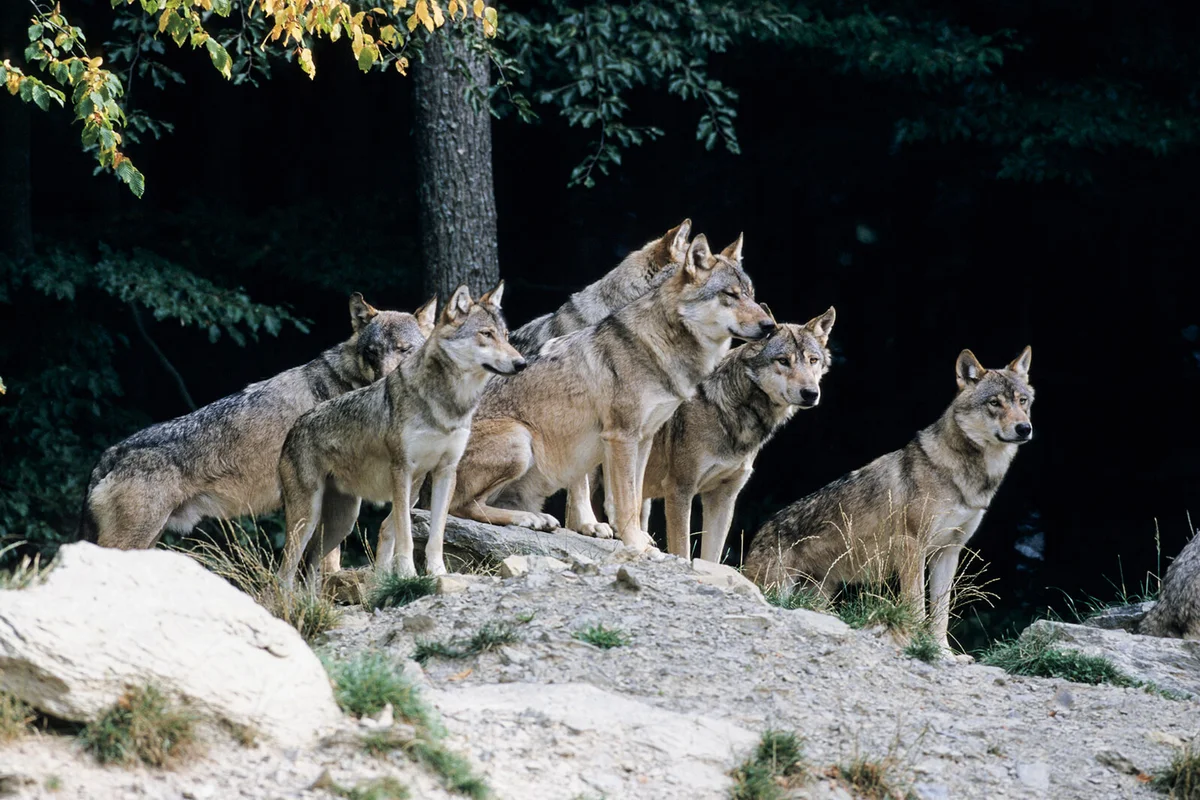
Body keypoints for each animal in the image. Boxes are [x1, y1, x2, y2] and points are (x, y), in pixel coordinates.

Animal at [277, 283, 524, 585]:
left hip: (342, 522)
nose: (521, 363)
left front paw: (438, 572)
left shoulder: (445, 472)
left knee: (311, 568)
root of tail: (294, 427)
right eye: (486, 334)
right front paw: (407, 574)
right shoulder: (402, 471)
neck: (448, 406)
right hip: (307, 520)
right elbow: (404, 532)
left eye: (506, 336)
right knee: (284, 574)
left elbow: (436, 533)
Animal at [448, 235, 776, 551]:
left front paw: (637, 539)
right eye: (731, 295)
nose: (770, 325)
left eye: (751, 294)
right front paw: (634, 544)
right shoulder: (621, 437)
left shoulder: (643, 438)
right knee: (460, 507)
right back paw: (530, 519)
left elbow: (635, 498)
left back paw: (537, 519)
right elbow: (624, 500)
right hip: (520, 439)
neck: (659, 347)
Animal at [639, 308, 836, 563]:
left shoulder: (723, 497)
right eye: (783, 361)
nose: (811, 393)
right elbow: (682, 550)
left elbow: (711, 557)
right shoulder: (679, 489)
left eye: (813, 360)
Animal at [744, 347, 1035, 655]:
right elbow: (917, 605)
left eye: (1022, 401)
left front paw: (942, 651)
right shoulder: (911, 546)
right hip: (779, 587)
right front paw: (916, 641)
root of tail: (760, 531)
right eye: (994, 403)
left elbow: (941, 613)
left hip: (819, 593)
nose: (1024, 428)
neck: (966, 476)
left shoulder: (948, 552)